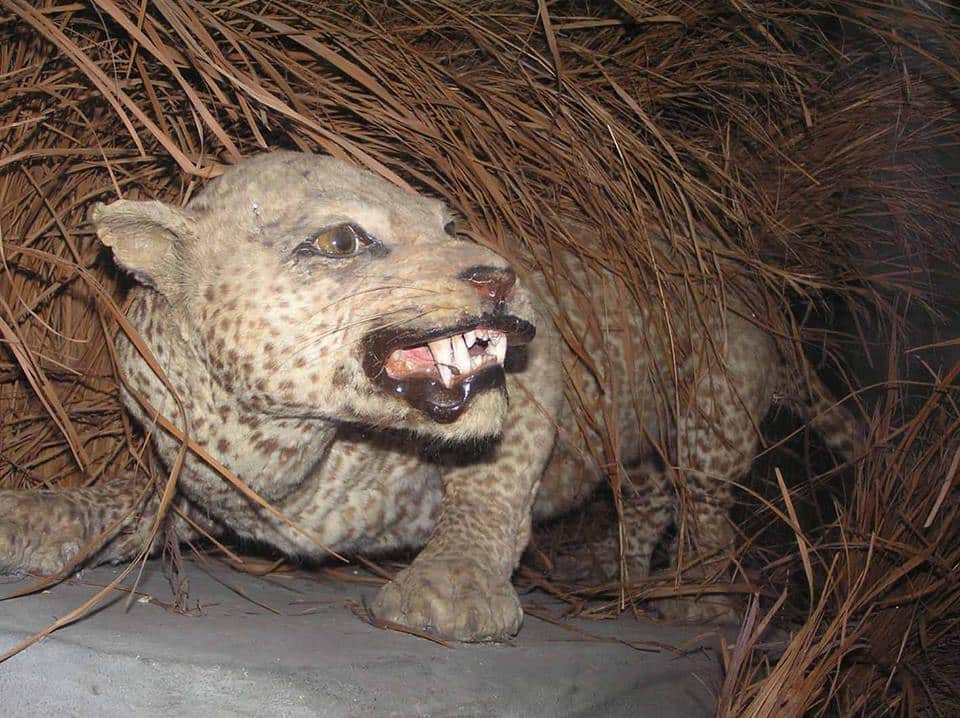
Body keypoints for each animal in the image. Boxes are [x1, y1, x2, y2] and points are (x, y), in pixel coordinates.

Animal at [0, 150, 860, 640]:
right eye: (341, 240)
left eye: (450, 227)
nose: (499, 274)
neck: (291, 439)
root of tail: (748, 280)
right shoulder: (194, 469)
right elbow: (130, 497)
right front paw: (36, 514)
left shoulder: (538, 359)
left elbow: (492, 484)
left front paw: (456, 587)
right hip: (634, 437)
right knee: (650, 495)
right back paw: (615, 572)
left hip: (714, 405)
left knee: (705, 500)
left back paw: (697, 595)